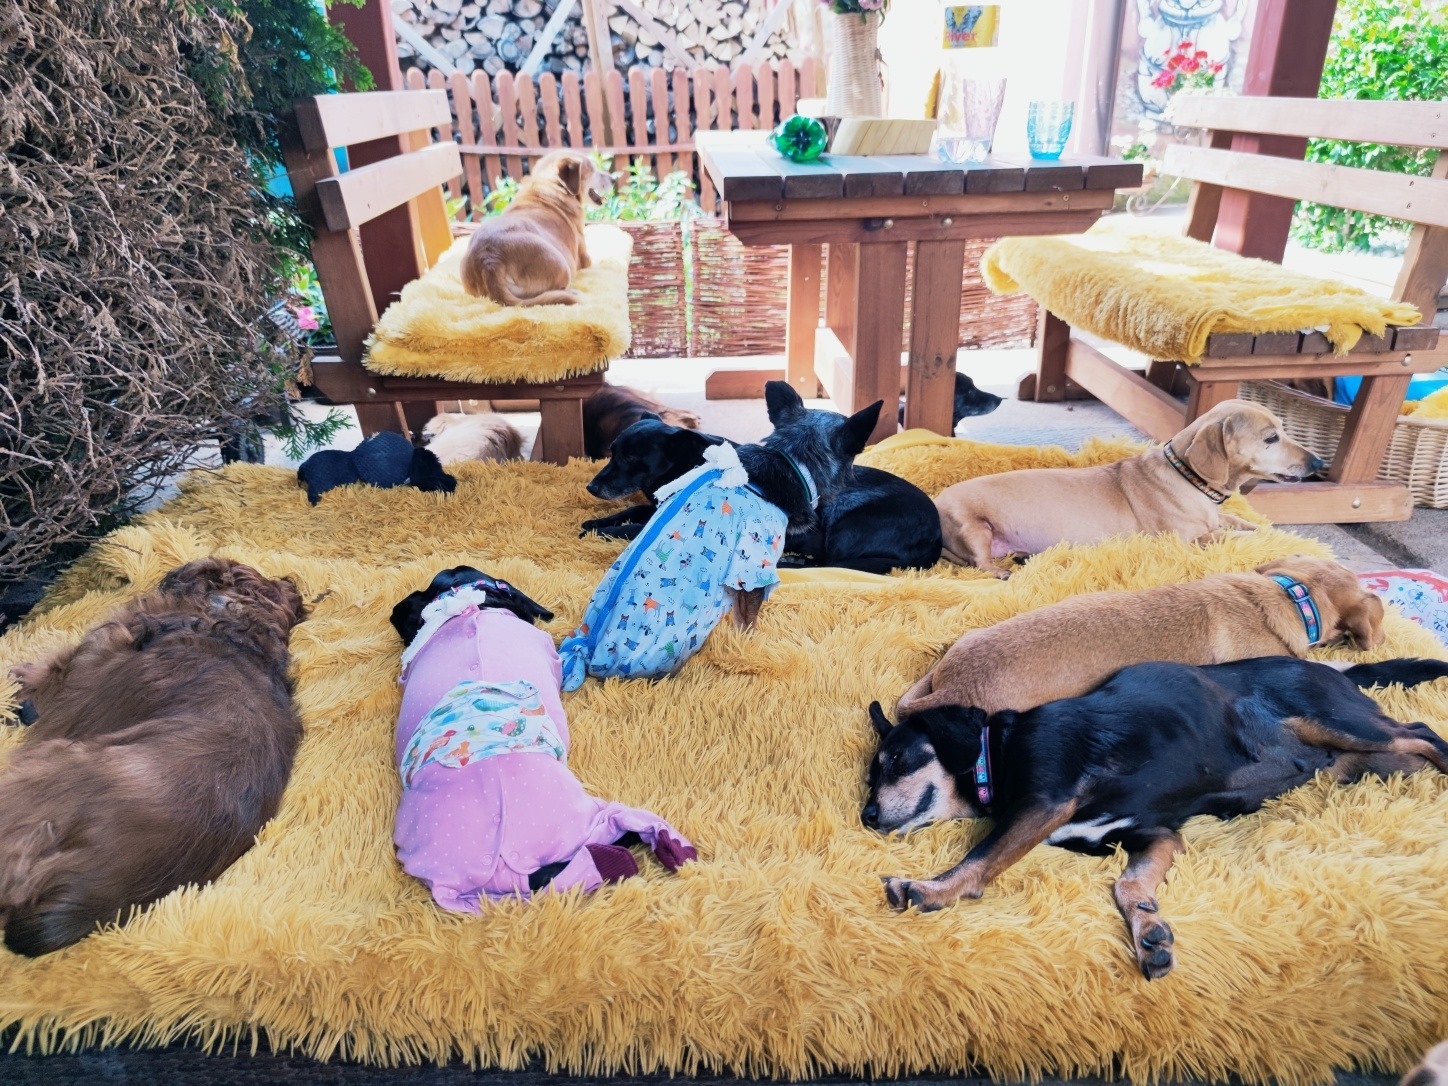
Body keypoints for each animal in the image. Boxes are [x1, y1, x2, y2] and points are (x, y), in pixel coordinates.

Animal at [460, 150, 613, 306]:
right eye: (593, 169)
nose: (613, 179)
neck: (550, 185)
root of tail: (490, 260)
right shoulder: (585, 257)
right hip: (561, 265)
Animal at [558, 382, 883, 688]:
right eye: (612, 454)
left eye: (631, 458)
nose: (591, 488)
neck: (792, 461)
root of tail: (587, 651)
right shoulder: (752, 570)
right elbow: (748, 621)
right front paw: (747, 650)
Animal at [582, 406, 942, 574]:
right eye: (612, 451)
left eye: (632, 457)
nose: (591, 487)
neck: (690, 463)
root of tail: (938, 538)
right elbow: (633, 509)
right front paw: (597, 521)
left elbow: (636, 527)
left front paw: (602, 531)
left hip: (847, 524)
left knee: (827, 562)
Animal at [865, 655, 1448, 977]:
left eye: (894, 759)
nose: (867, 816)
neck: (995, 752)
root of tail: (1336, 669)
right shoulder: (1157, 836)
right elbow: (1127, 886)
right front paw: (1149, 931)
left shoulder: (1043, 801)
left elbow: (979, 858)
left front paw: (928, 890)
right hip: (1361, 761)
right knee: (1407, 748)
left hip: (1334, 720)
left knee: (1420, 730)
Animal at [933, 399, 1324, 577]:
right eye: (1271, 438)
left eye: (1284, 429)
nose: (1319, 463)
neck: (1189, 480)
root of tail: (935, 504)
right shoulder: (1190, 540)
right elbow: (1235, 537)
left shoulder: (1218, 520)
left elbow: (1244, 525)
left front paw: (1269, 532)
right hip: (975, 528)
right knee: (980, 563)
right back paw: (1001, 570)